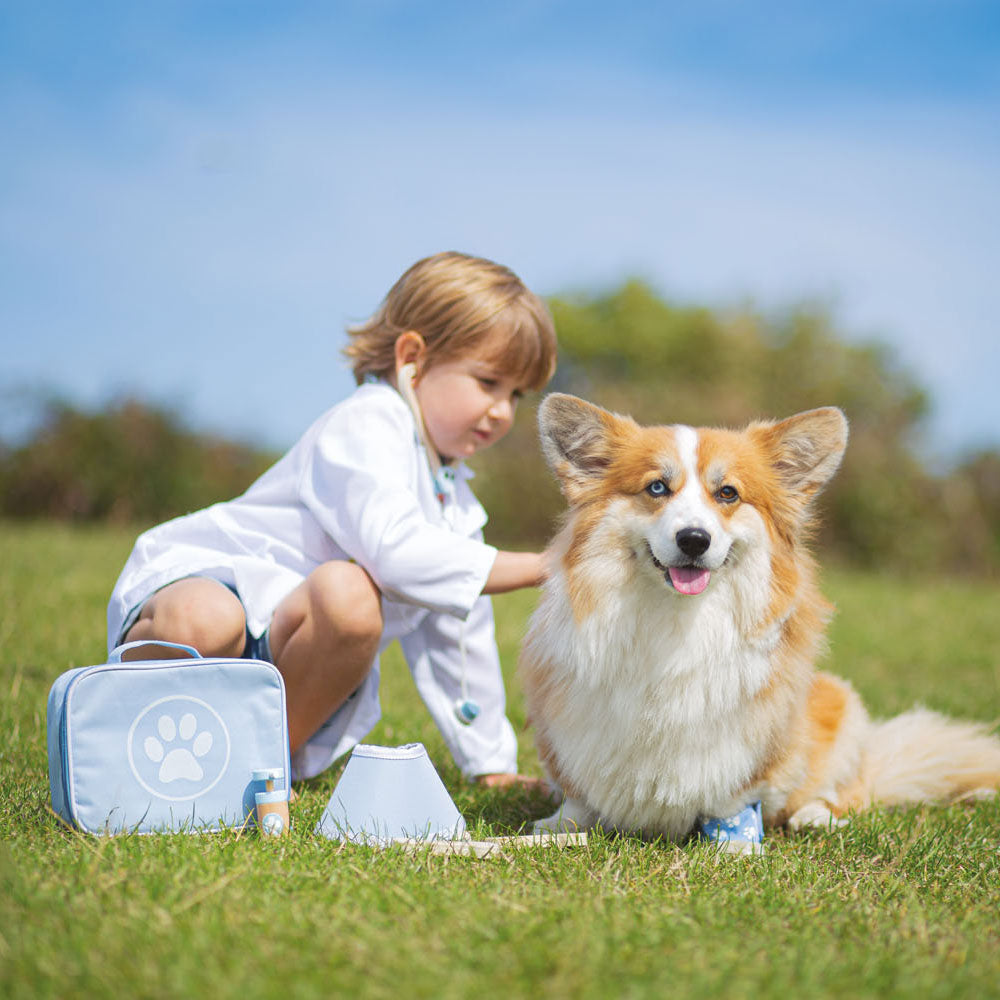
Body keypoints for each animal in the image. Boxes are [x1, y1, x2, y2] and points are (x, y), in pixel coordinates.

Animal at [524, 394, 1000, 840]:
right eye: (657, 488)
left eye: (728, 493)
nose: (694, 539)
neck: (678, 617)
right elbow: (579, 792)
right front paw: (559, 825)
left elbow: (734, 785)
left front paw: (735, 835)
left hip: (839, 702)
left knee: (848, 791)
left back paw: (815, 815)